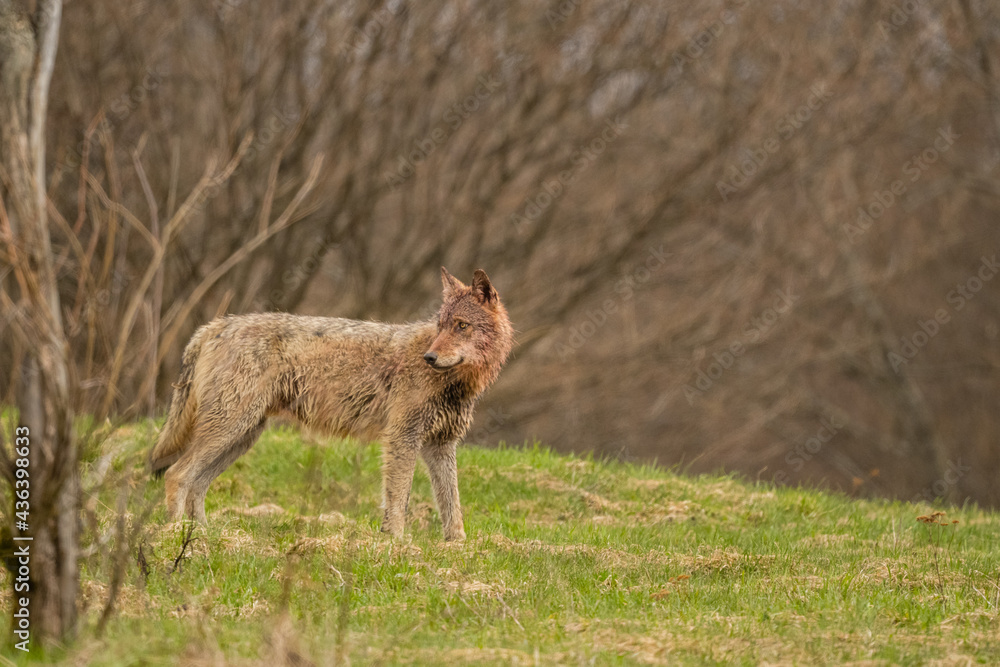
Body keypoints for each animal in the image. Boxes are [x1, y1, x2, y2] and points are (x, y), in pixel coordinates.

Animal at [149, 268, 513, 540]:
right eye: (440, 326)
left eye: (461, 326)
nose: (430, 357)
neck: (456, 384)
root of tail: (213, 326)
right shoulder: (402, 439)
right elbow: (398, 499)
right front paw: (395, 544)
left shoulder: (440, 446)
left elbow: (452, 506)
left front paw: (457, 546)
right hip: (230, 431)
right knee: (177, 475)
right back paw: (175, 534)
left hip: (241, 438)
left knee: (196, 484)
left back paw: (201, 535)